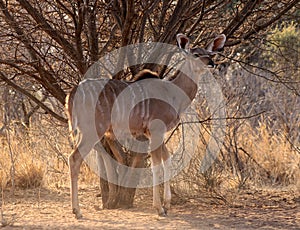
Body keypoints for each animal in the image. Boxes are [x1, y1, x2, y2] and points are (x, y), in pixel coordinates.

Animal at [65, 33, 225, 218]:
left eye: (210, 53)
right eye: (196, 54)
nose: (212, 63)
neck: (172, 93)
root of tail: (73, 93)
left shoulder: (153, 133)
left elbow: (167, 159)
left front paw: (167, 205)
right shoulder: (156, 130)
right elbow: (156, 165)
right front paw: (159, 208)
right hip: (93, 129)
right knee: (74, 158)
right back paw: (77, 211)